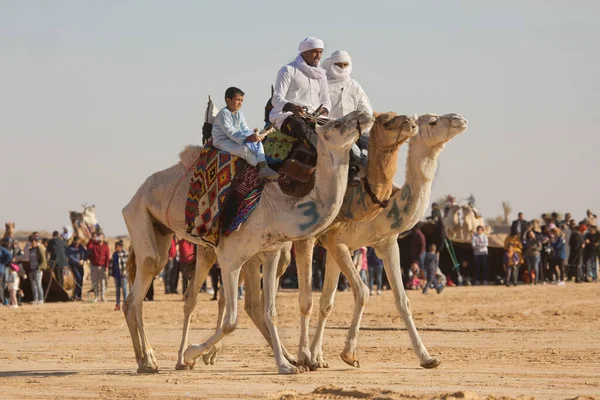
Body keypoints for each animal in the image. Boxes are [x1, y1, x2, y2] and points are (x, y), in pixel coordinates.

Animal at [123, 110, 372, 376]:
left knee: (141, 290)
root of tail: (133, 197)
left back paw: (144, 360)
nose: (363, 114)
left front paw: (286, 365)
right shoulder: (230, 258)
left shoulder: (271, 252)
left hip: (162, 231)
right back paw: (153, 360)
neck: (277, 208)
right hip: (139, 213)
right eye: (336, 124)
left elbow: (270, 312)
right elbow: (231, 321)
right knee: (146, 282)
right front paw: (192, 353)